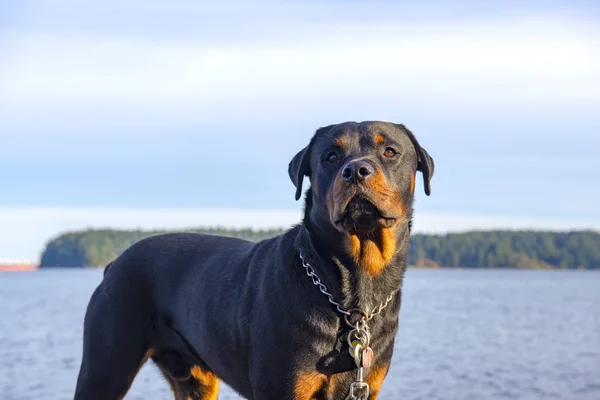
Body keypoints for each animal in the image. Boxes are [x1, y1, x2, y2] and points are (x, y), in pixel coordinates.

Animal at [75, 120, 434, 398]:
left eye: (390, 152)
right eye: (331, 156)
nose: (356, 170)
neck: (353, 288)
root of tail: (113, 265)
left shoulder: (367, 387)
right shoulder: (282, 388)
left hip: (195, 378)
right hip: (105, 366)